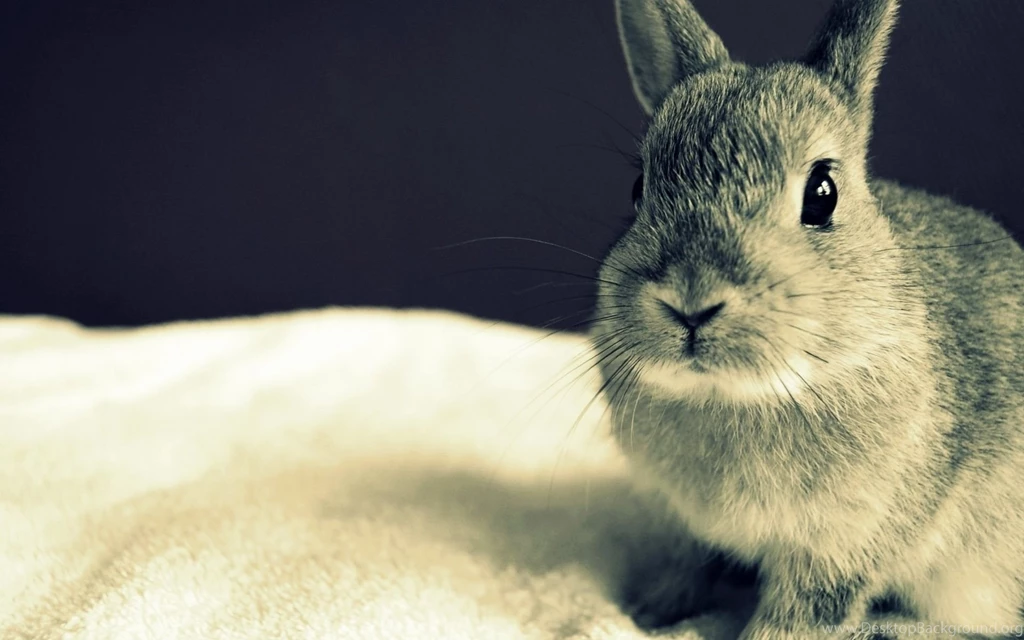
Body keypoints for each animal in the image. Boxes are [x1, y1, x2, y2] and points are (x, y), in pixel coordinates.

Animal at [589, 0, 1024, 638]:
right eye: (639, 187)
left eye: (822, 193)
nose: (691, 300)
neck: (737, 395)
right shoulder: (688, 528)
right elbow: (686, 567)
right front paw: (647, 614)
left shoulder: (839, 547)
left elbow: (798, 616)